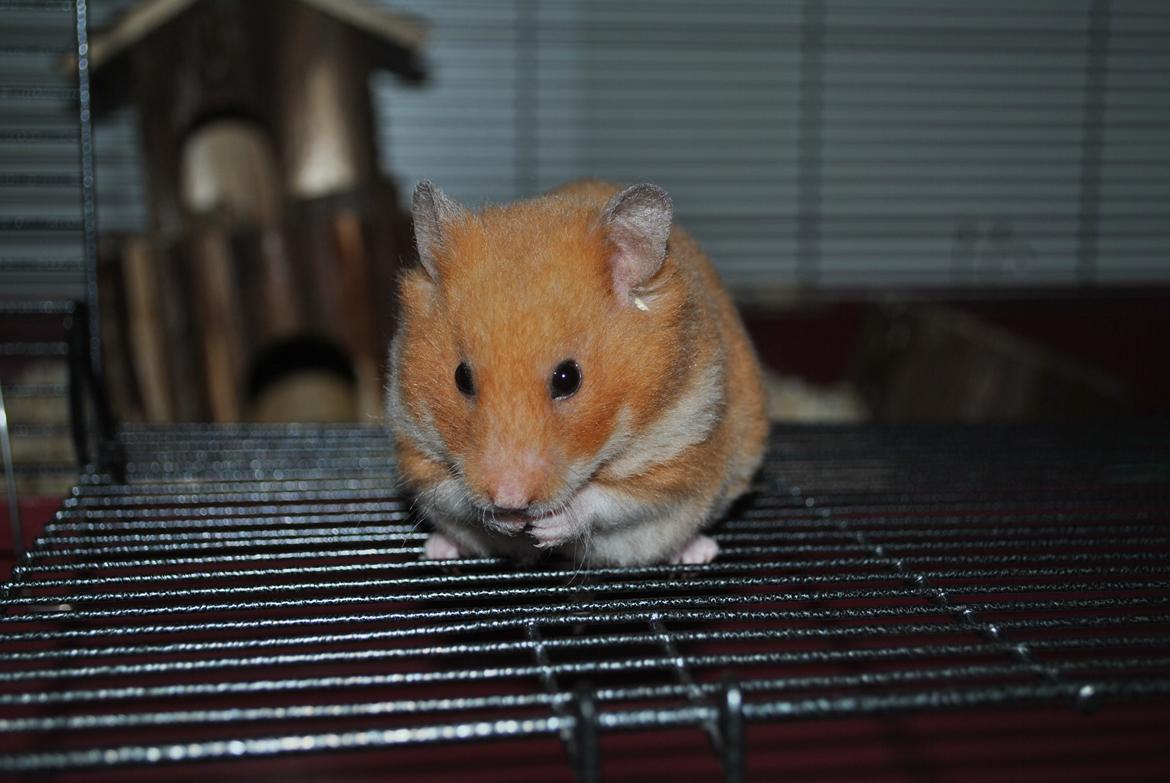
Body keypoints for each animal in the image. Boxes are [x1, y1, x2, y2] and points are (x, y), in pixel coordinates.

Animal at [386, 180, 768, 566]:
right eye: (461, 378)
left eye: (568, 378)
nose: (510, 499)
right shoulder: (416, 449)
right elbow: (456, 494)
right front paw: (505, 520)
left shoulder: (677, 454)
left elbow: (604, 499)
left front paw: (547, 526)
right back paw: (439, 548)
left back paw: (698, 552)